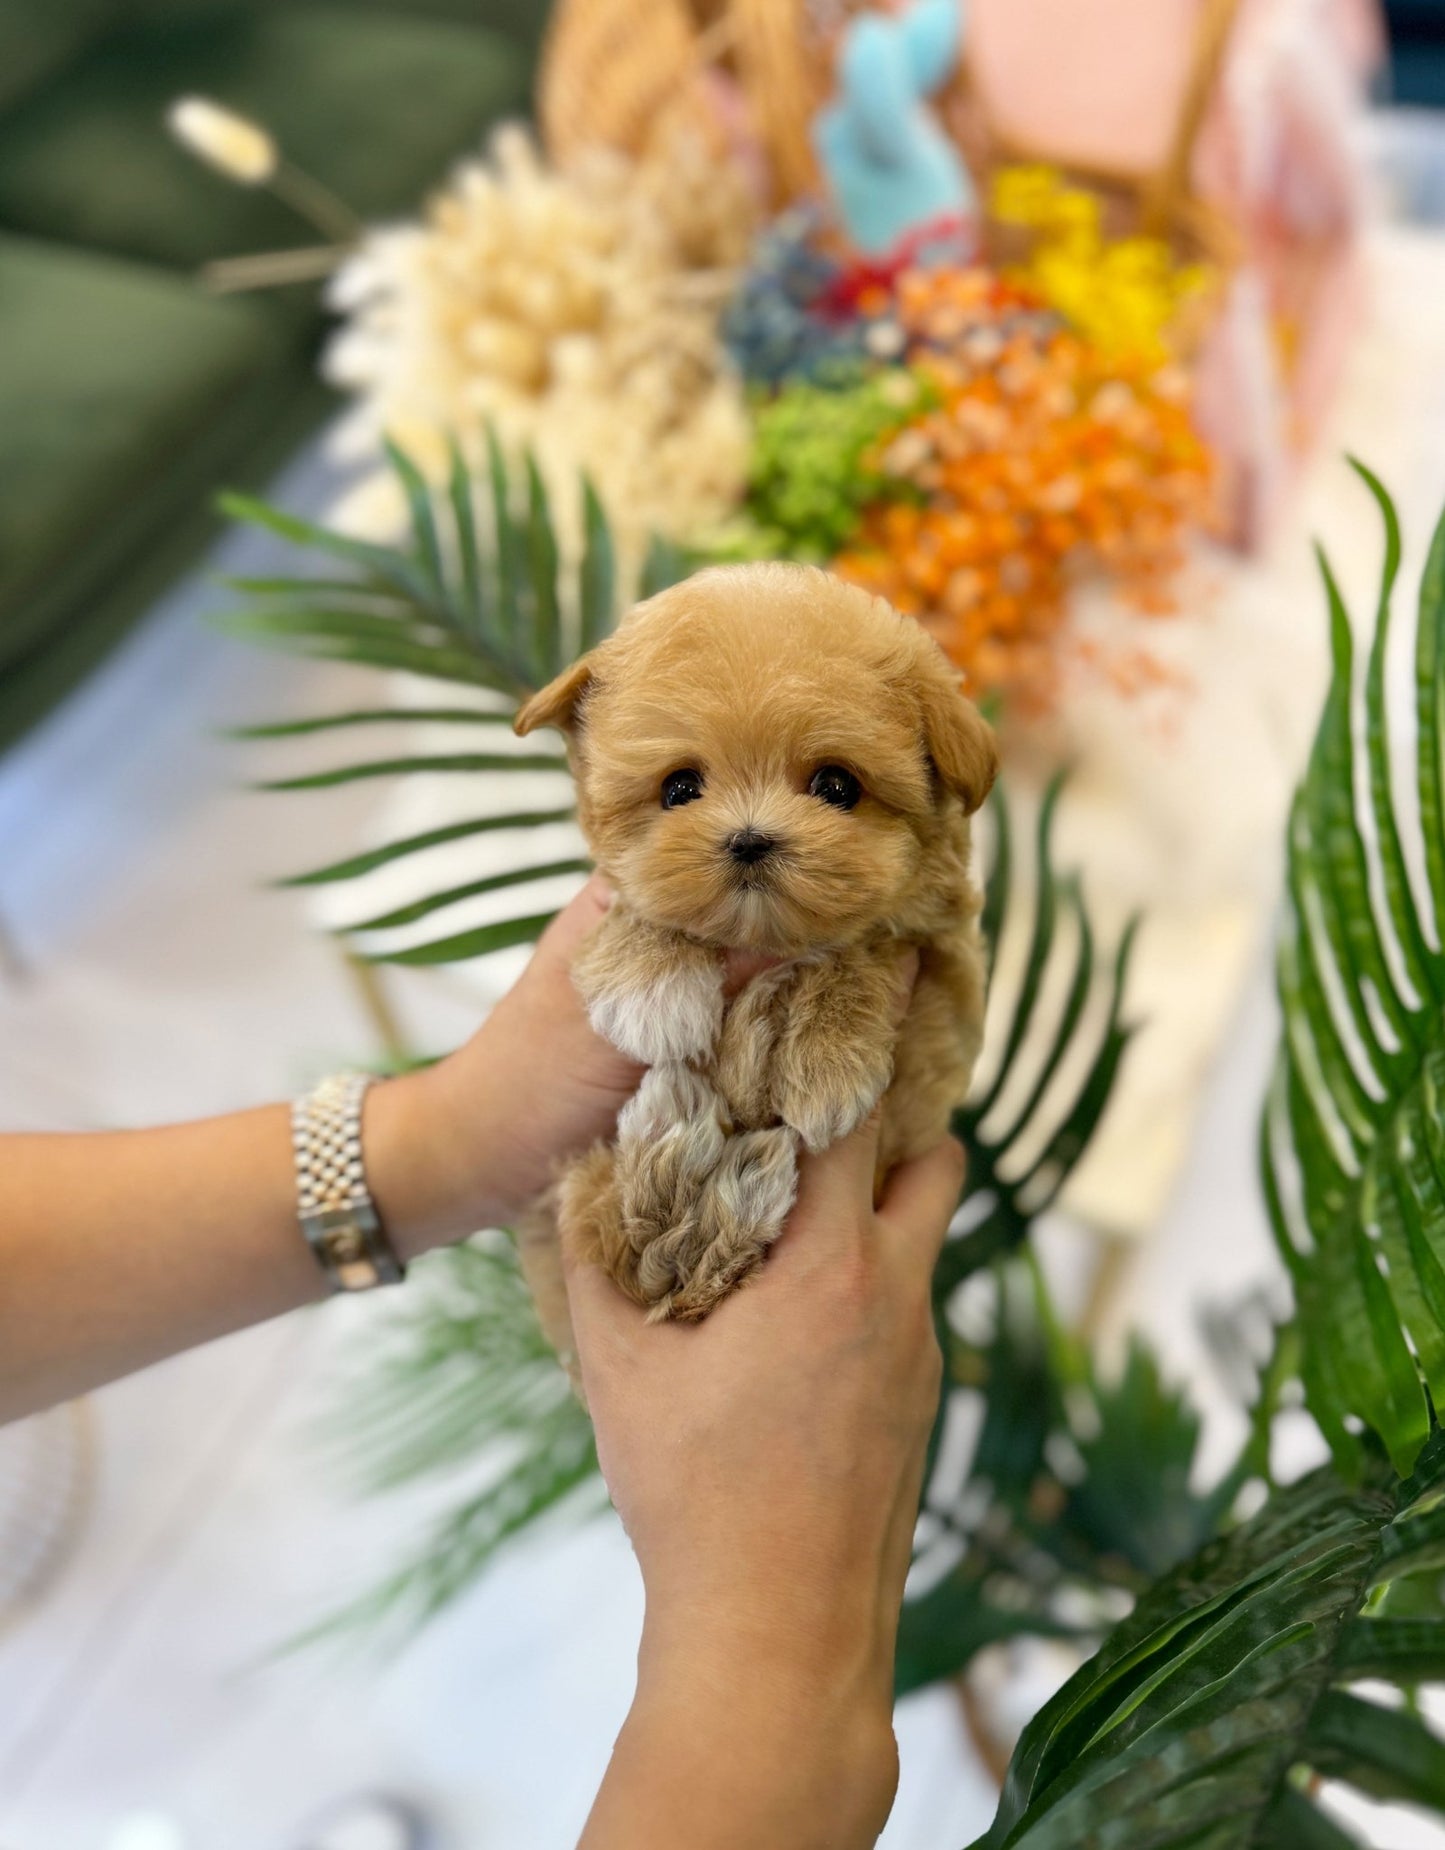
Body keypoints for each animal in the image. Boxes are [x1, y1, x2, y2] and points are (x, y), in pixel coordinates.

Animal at [514, 555, 999, 1339]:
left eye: (837, 785)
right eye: (680, 788)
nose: (748, 839)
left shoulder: (946, 988)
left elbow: (862, 950)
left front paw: (828, 1056)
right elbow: (642, 906)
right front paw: (651, 983)